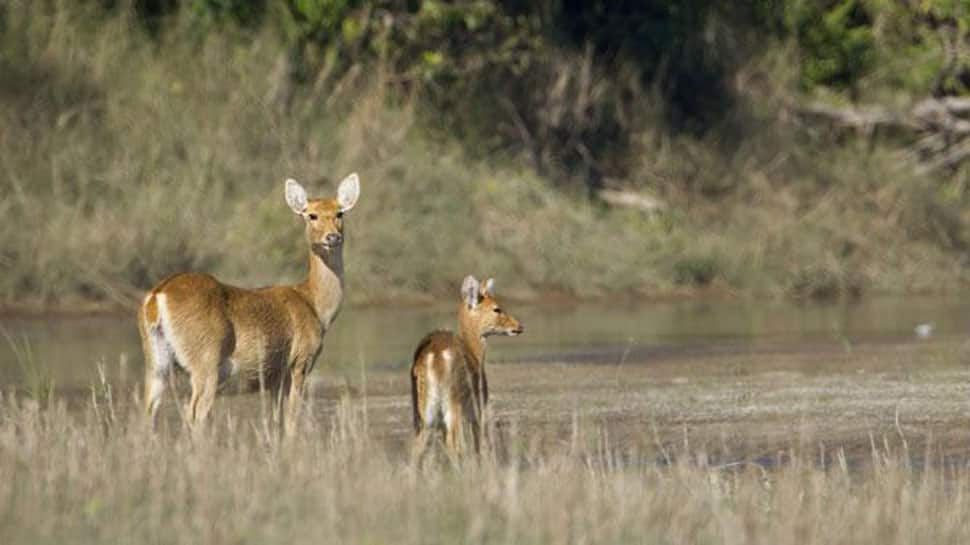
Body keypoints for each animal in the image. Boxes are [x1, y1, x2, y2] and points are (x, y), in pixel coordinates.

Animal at [138, 173, 362, 434]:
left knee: (149, 410)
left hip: (156, 362)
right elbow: (291, 422)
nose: (333, 237)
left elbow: (275, 421)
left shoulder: (274, 378)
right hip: (205, 360)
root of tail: (156, 298)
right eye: (311, 214)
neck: (314, 304)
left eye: (340, 213)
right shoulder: (299, 362)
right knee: (194, 412)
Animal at [412, 276, 524, 460]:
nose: (519, 326)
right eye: (497, 308)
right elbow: (478, 444)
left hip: (424, 411)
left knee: (417, 448)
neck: (475, 354)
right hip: (453, 404)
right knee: (453, 444)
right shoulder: (477, 409)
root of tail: (435, 356)